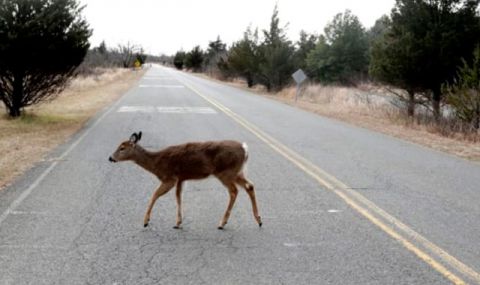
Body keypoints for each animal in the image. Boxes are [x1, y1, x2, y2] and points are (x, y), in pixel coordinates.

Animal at [108, 131, 260, 229]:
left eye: (122, 148)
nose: (110, 158)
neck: (156, 163)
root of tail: (245, 149)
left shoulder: (169, 177)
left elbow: (154, 195)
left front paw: (146, 221)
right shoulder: (181, 178)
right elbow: (178, 197)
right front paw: (178, 222)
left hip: (225, 172)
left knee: (234, 191)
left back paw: (222, 223)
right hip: (236, 172)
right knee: (250, 186)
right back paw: (258, 220)